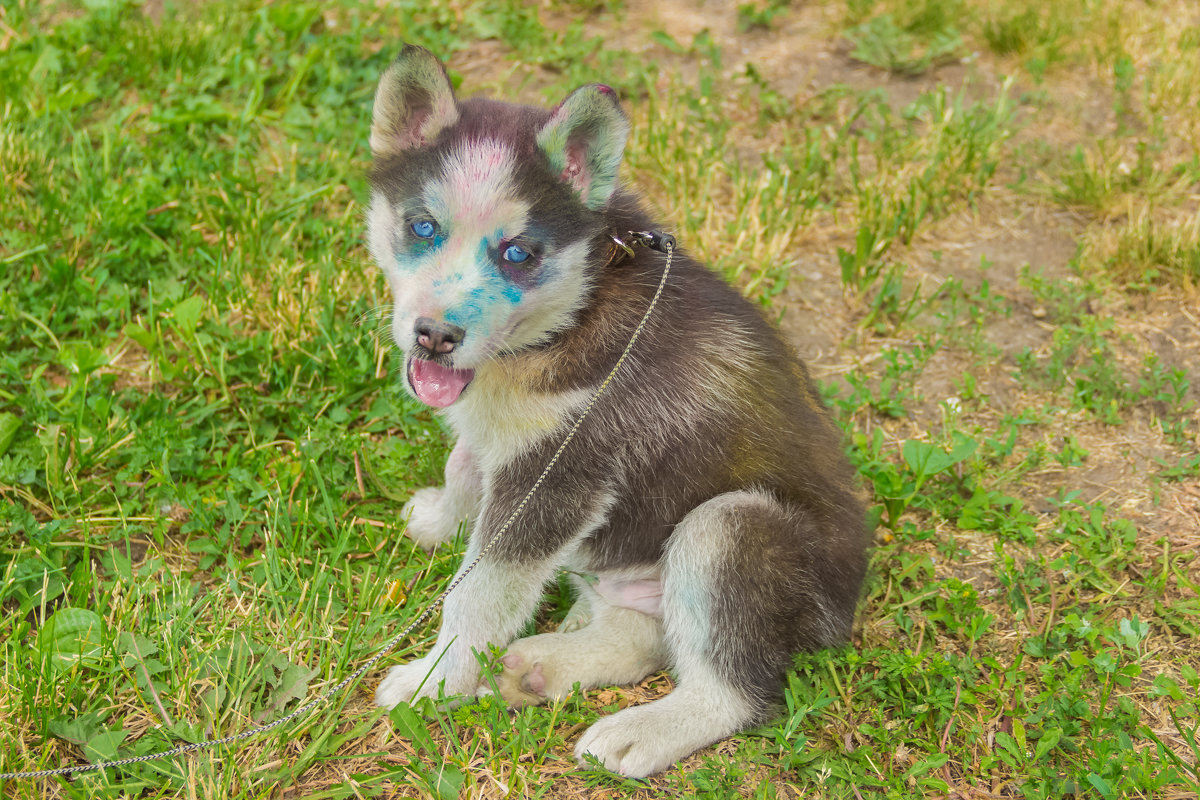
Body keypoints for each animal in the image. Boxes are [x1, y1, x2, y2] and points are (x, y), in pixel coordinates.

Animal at [367, 43, 873, 777]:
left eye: (518, 253)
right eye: (422, 227)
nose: (436, 335)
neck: (568, 316)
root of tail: (848, 611)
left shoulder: (559, 477)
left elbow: (478, 594)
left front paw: (433, 680)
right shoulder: (510, 445)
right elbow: (464, 463)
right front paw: (439, 519)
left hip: (729, 527)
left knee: (736, 692)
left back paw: (640, 732)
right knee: (645, 637)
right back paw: (536, 668)